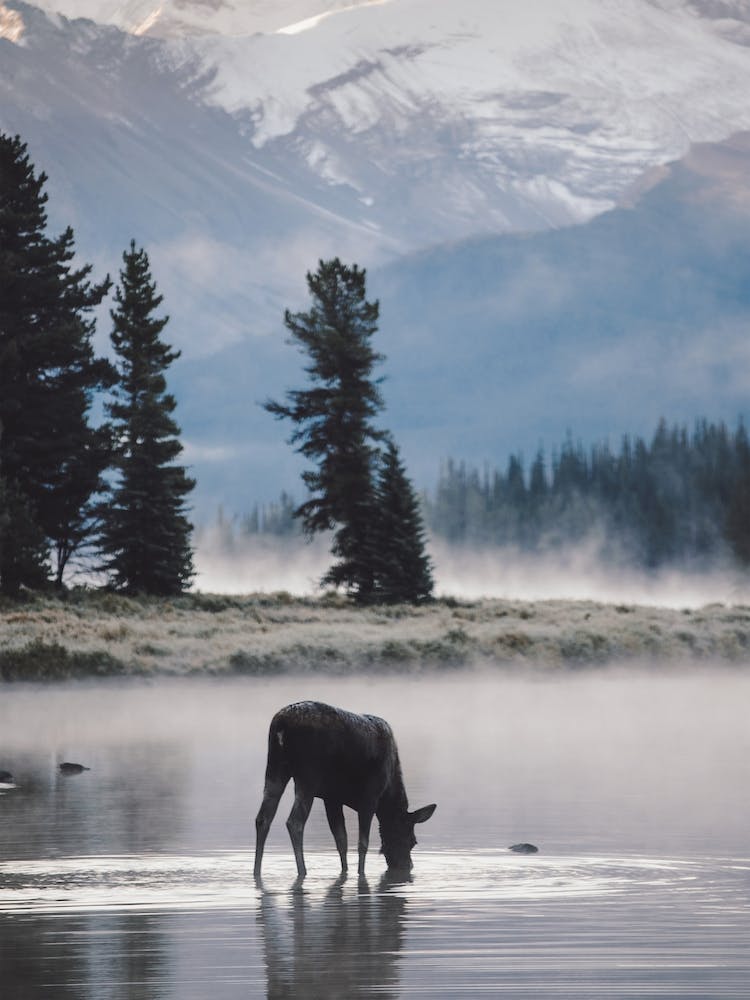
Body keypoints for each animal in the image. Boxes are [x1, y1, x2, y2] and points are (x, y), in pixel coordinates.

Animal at [253, 701, 436, 879]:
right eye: (412, 840)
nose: (407, 866)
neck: (388, 796)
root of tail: (281, 725)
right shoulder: (370, 796)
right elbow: (362, 843)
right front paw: (360, 872)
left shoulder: (332, 799)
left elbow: (341, 840)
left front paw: (345, 871)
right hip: (308, 776)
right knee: (295, 822)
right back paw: (302, 870)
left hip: (275, 769)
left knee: (263, 818)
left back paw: (256, 870)